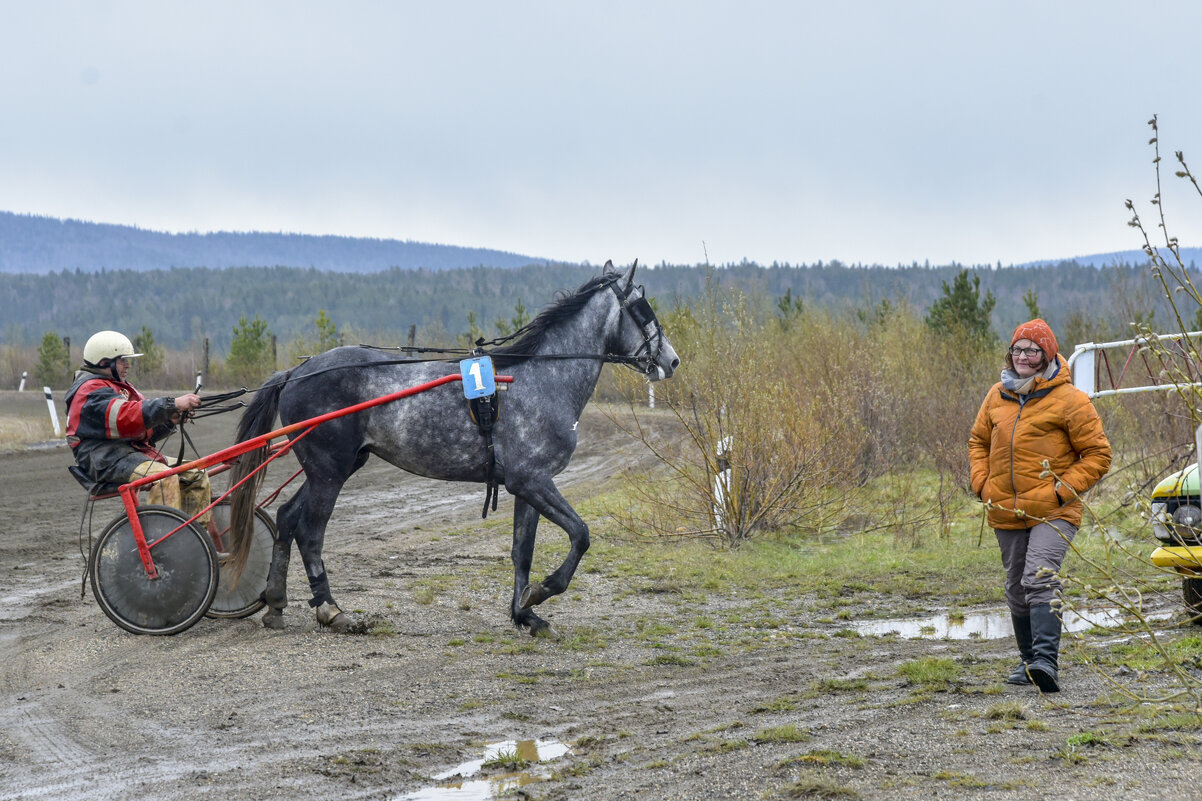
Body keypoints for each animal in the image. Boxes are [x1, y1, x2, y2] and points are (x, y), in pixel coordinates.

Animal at [225, 263, 677, 635]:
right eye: (643, 308)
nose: (671, 361)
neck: (538, 379)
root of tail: (297, 370)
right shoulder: (532, 480)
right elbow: (580, 535)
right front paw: (543, 591)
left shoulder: (527, 484)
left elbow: (522, 551)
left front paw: (525, 614)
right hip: (329, 469)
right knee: (310, 531)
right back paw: (331, 609)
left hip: (336, 466)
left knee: (287, 517)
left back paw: (276, 604)